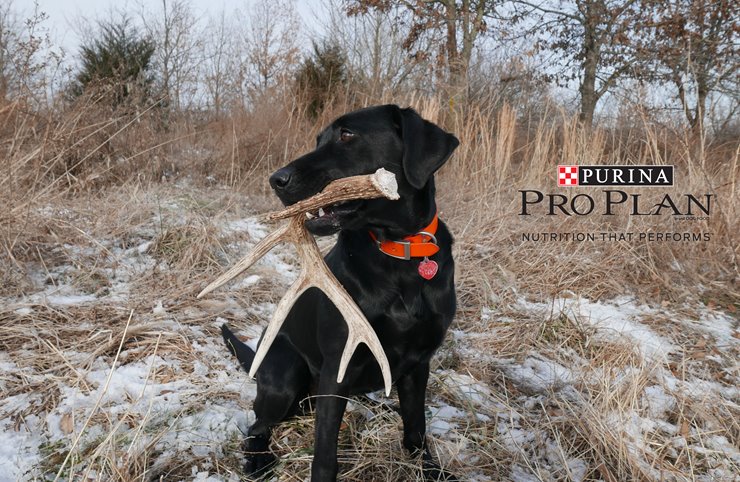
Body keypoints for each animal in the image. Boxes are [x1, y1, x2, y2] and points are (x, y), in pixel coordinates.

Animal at [223, 103, 460, 480]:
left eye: (347, 135)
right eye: (318, 139)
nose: (277, 179)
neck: (400, 252)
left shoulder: (419, 363)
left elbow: (416, 428)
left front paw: (429, 469)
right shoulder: (338, 365)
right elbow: (325, 452)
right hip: (286, 376)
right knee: (257, 424)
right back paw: (258, 459)